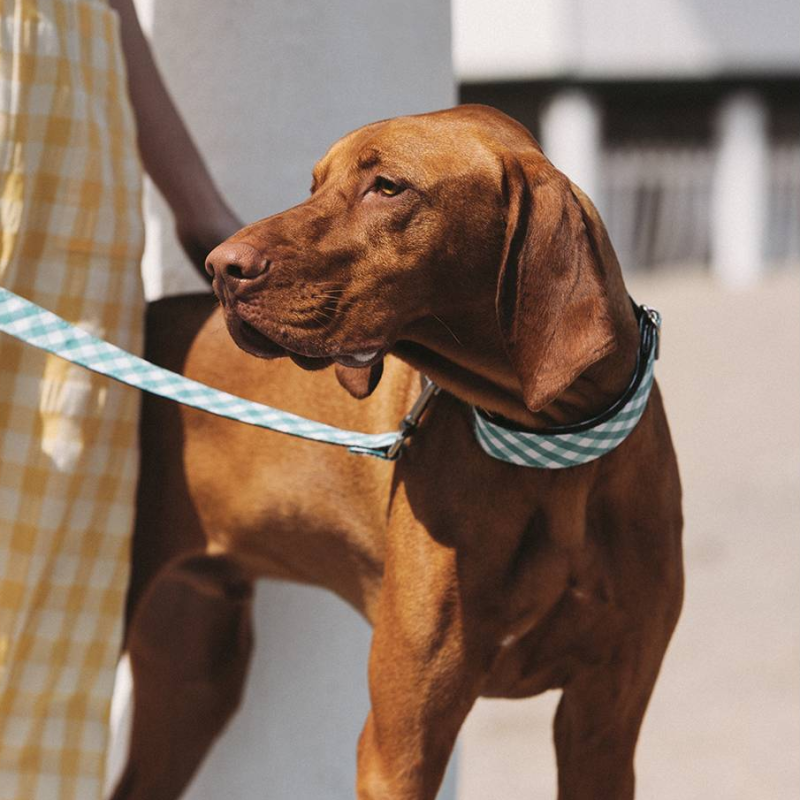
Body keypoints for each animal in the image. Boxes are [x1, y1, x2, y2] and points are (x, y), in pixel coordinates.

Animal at [114, 106, 680, 800]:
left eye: (387, 187)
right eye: (314, 185)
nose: (222, 266)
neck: (554, 455)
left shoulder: (604, 727)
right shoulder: (402, 743)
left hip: (196, 677)